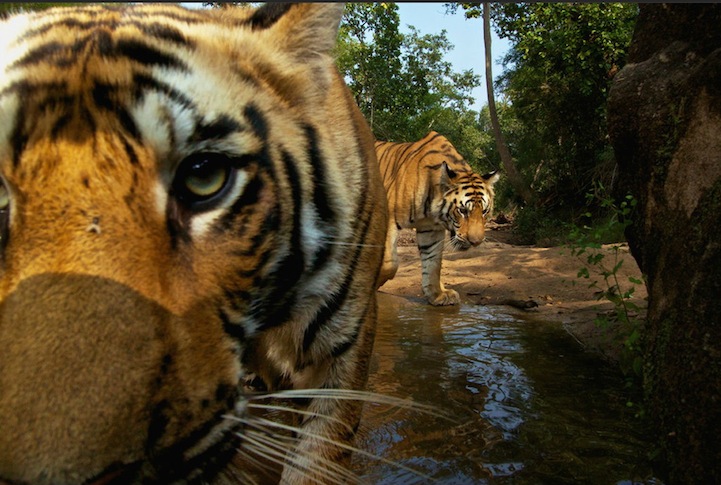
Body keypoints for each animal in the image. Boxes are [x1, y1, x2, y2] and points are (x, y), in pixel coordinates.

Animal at [374, 131, 498, 306]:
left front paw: (438, 295)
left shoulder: (431, 229)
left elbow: (432, 262)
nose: (476, 242)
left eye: (485, 212)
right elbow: (389, 263)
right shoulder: (389, 216)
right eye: (462, 211)